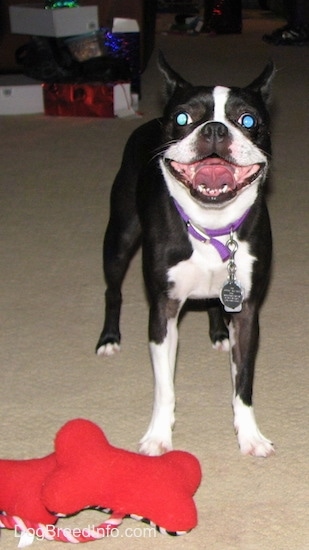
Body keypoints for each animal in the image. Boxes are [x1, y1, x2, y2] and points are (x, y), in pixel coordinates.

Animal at [96, 54, 274, 462]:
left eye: (248, 121)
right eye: (182, 118)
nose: (215, 129)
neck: (211, 225)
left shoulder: (247, 311)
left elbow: (243, 383)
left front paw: (250, 436)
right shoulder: (163, 311)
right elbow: (165, 388)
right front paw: (158, 437)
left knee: (213, 302)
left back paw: (218, 333)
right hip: (119, 238)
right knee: (113, 290)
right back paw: (109, 338)